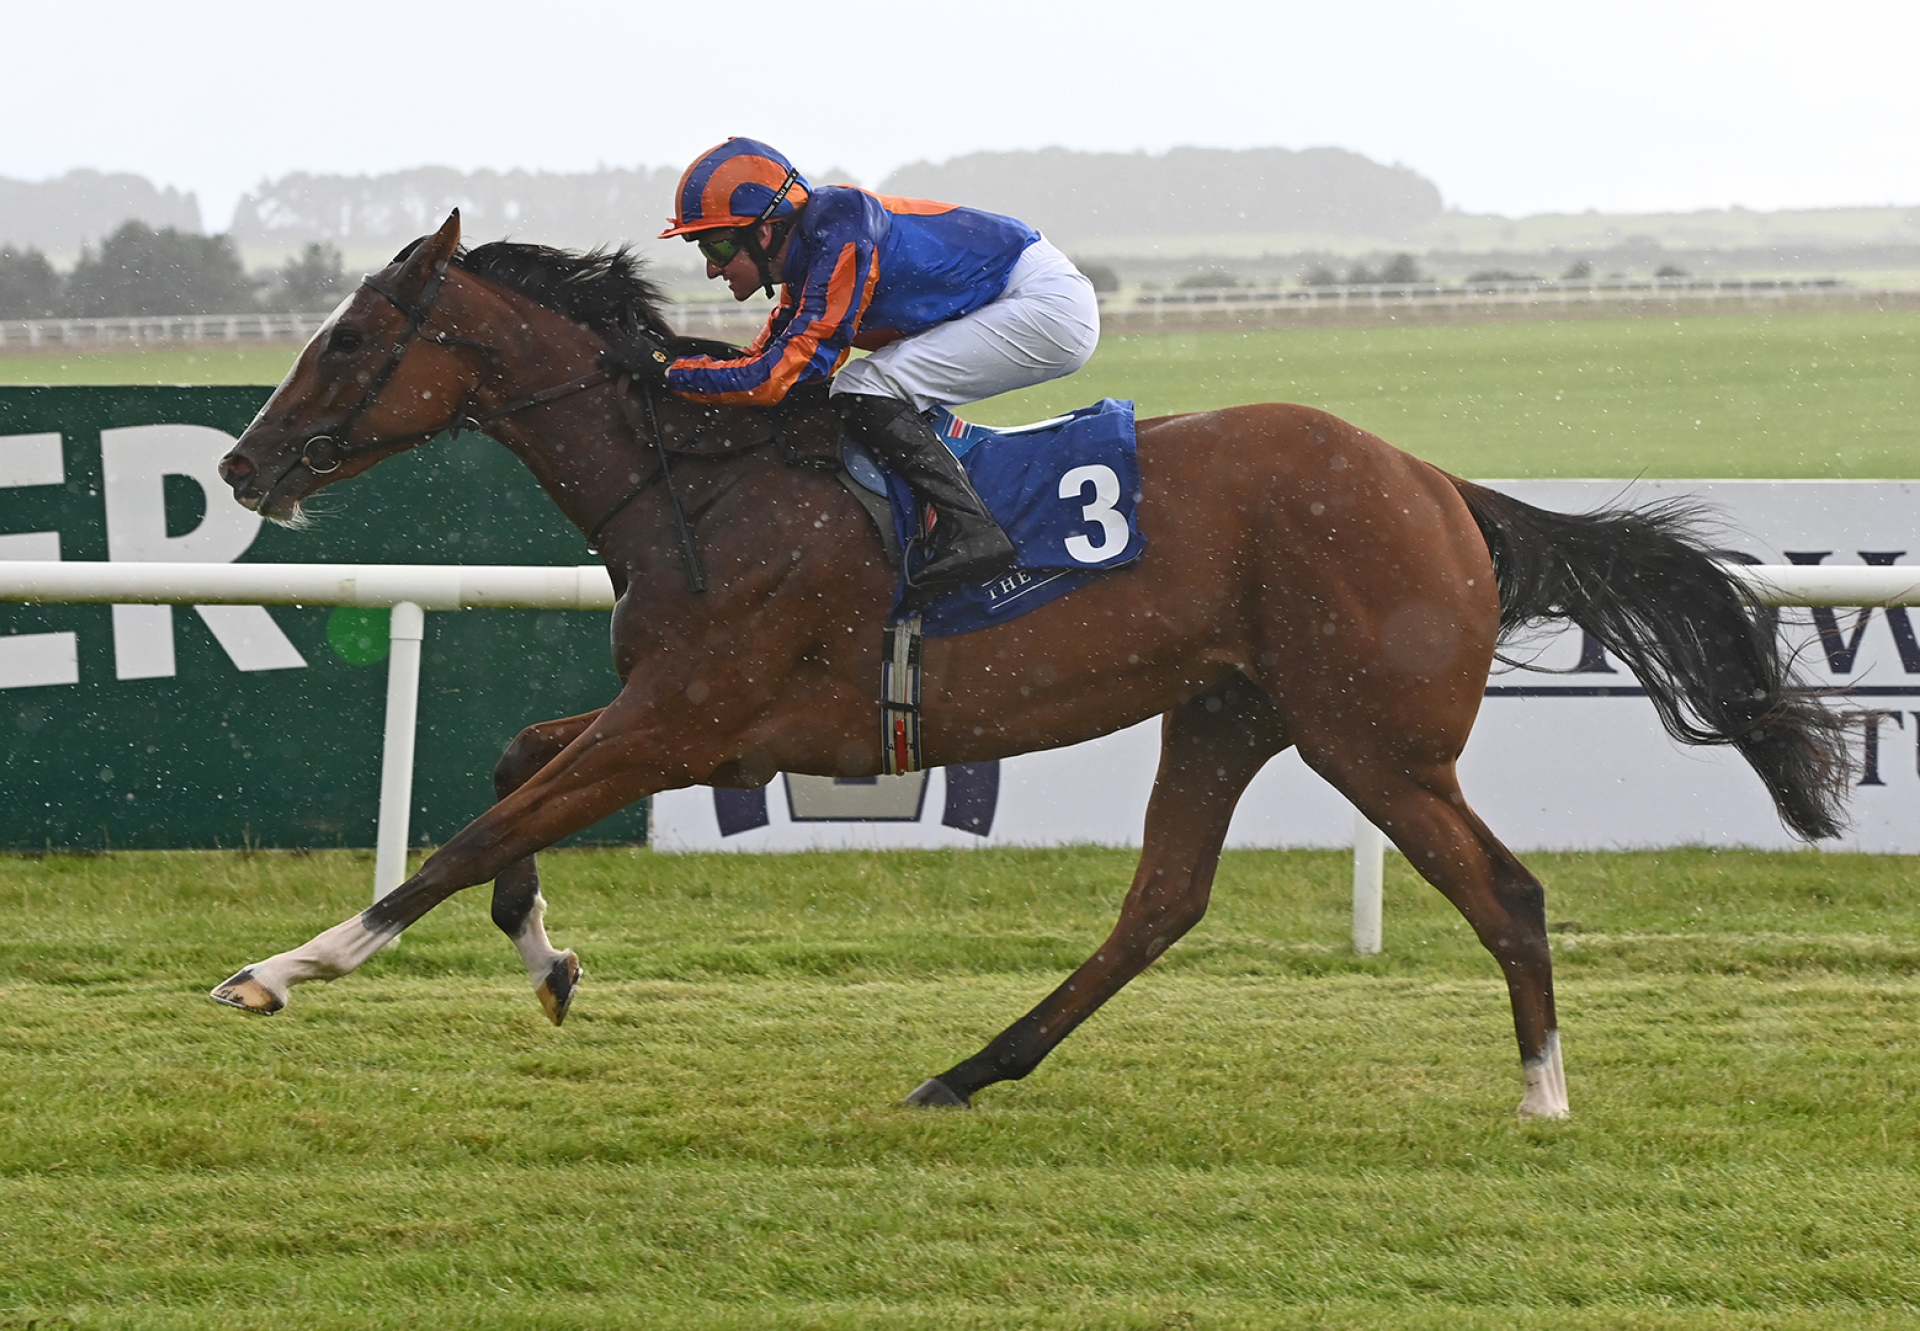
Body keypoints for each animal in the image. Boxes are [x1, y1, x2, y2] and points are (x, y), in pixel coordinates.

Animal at [206, 210, 1843, 1121]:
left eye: (349, 335)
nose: (239, 461)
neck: (707, 480)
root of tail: (1440, 484)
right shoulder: (700, 722)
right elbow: (507, 777)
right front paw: (548, 962)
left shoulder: (685, 718)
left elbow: (467, 829)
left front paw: (282, 969)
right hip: (1227, 713)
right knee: (1160, 904)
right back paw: (966, 1069)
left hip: (1371, 736)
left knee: (1505, 890)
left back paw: (1543, 1092)